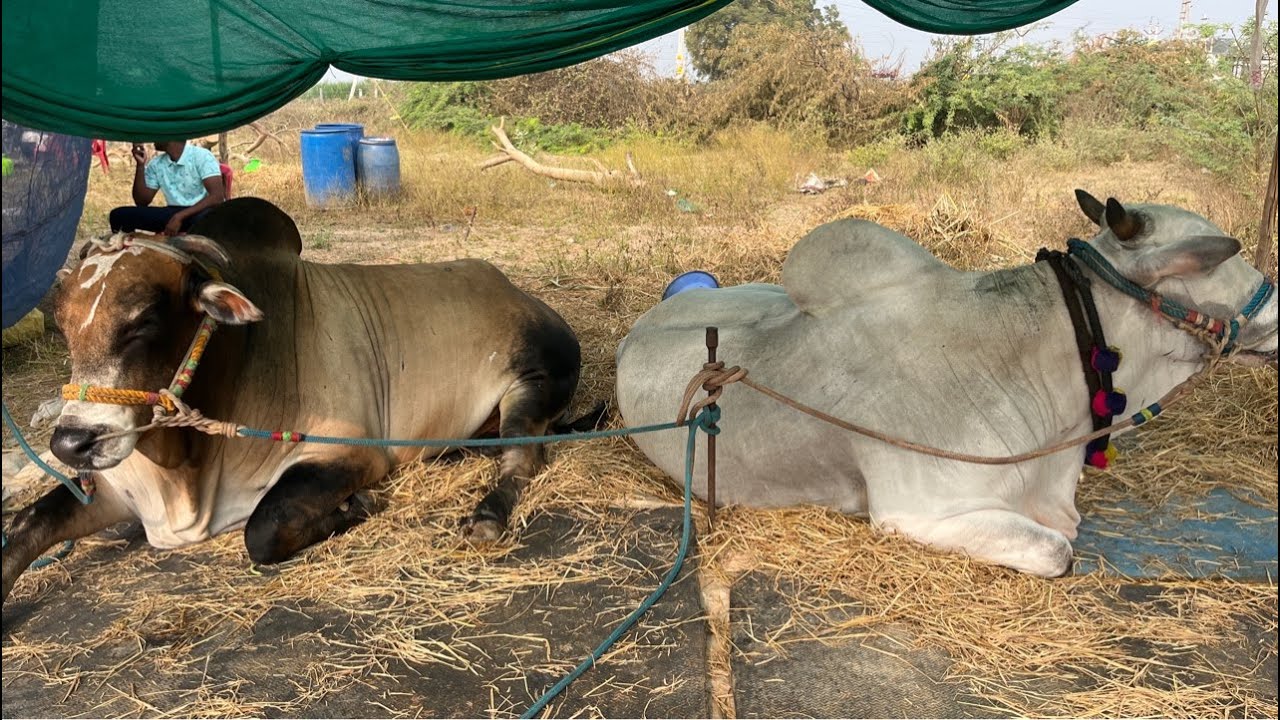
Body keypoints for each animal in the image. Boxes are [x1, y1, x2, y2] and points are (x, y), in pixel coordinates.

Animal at [3, 197, 595, 604]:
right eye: (63, 328)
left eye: (143, 321)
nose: (71, 443)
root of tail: (512, 289)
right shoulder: (113, 488)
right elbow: (25, 526)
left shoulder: (345, 452)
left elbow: (262, 530)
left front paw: (359, 504)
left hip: (533, 379)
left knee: (521, 457)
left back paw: (487, 514)